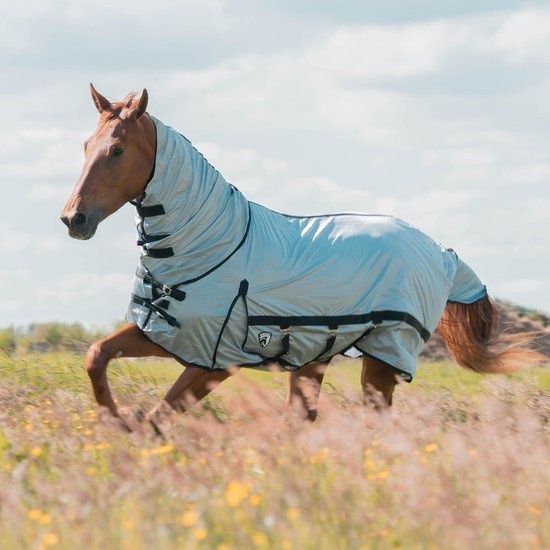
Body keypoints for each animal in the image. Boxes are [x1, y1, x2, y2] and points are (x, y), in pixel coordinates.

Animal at [60, 85, 544, 436]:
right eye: (85, 145)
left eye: (117, 150)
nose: (73, 219)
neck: (210, 244)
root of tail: (441, 253)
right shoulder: (164, 334)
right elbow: (96, 356)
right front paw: (113, 421)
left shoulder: (212, 360)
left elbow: (158, 418)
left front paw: (128, 430)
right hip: (319, 358)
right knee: (304, 420)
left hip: (383, 358)